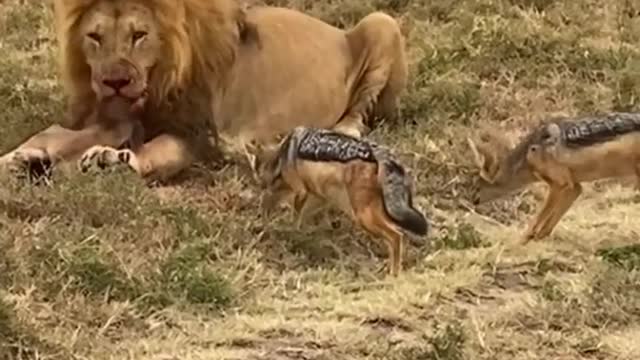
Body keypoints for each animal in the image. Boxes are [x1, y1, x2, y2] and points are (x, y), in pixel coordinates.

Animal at [1, 0, 404, 183]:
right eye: (95, 37)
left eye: (139, 35)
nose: (115, 81)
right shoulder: (116, 116)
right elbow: (58, 135)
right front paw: (22, 158)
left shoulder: (199, 136)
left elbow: (160, 153)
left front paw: (110, 160)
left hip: (382, 23)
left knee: (357, 116)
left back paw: (337, 134)